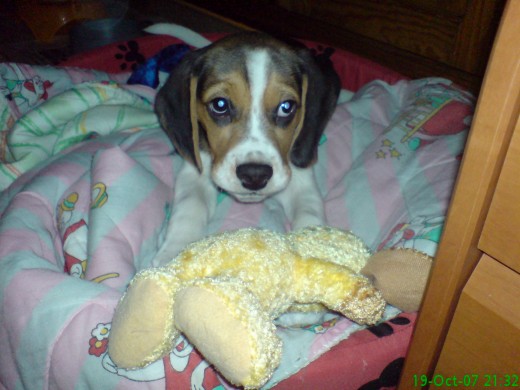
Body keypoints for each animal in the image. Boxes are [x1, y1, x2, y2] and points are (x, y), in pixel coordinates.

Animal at [153, 31, 342, 266]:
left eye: (286, 107)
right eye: (220, 105)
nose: (255, 175)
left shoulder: (301, 179)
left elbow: (310, 214)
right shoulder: (195, 168)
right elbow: (190, 207)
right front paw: (174, 254)